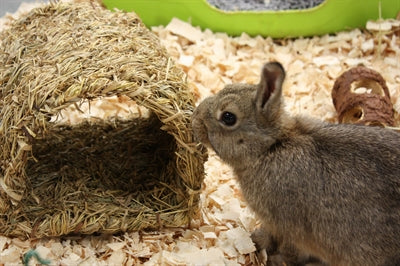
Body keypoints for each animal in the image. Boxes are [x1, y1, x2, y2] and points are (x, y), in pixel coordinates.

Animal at [191, 61, 400, 264]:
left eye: (228, 117)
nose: (195, 117)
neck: (270, 146)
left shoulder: (290, 229)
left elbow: (289, 249)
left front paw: (270, 253)